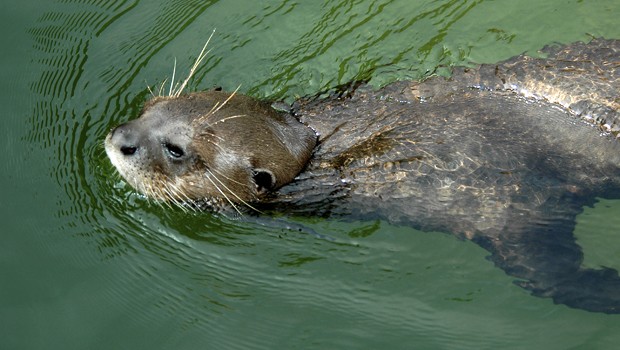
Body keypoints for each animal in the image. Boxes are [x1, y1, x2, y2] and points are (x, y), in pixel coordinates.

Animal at [105, 39, 620, 314]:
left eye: (176, 150)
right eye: (151, 105)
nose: (119, 138)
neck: (322, 149)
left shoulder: (503, 203)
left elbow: (551, 271)